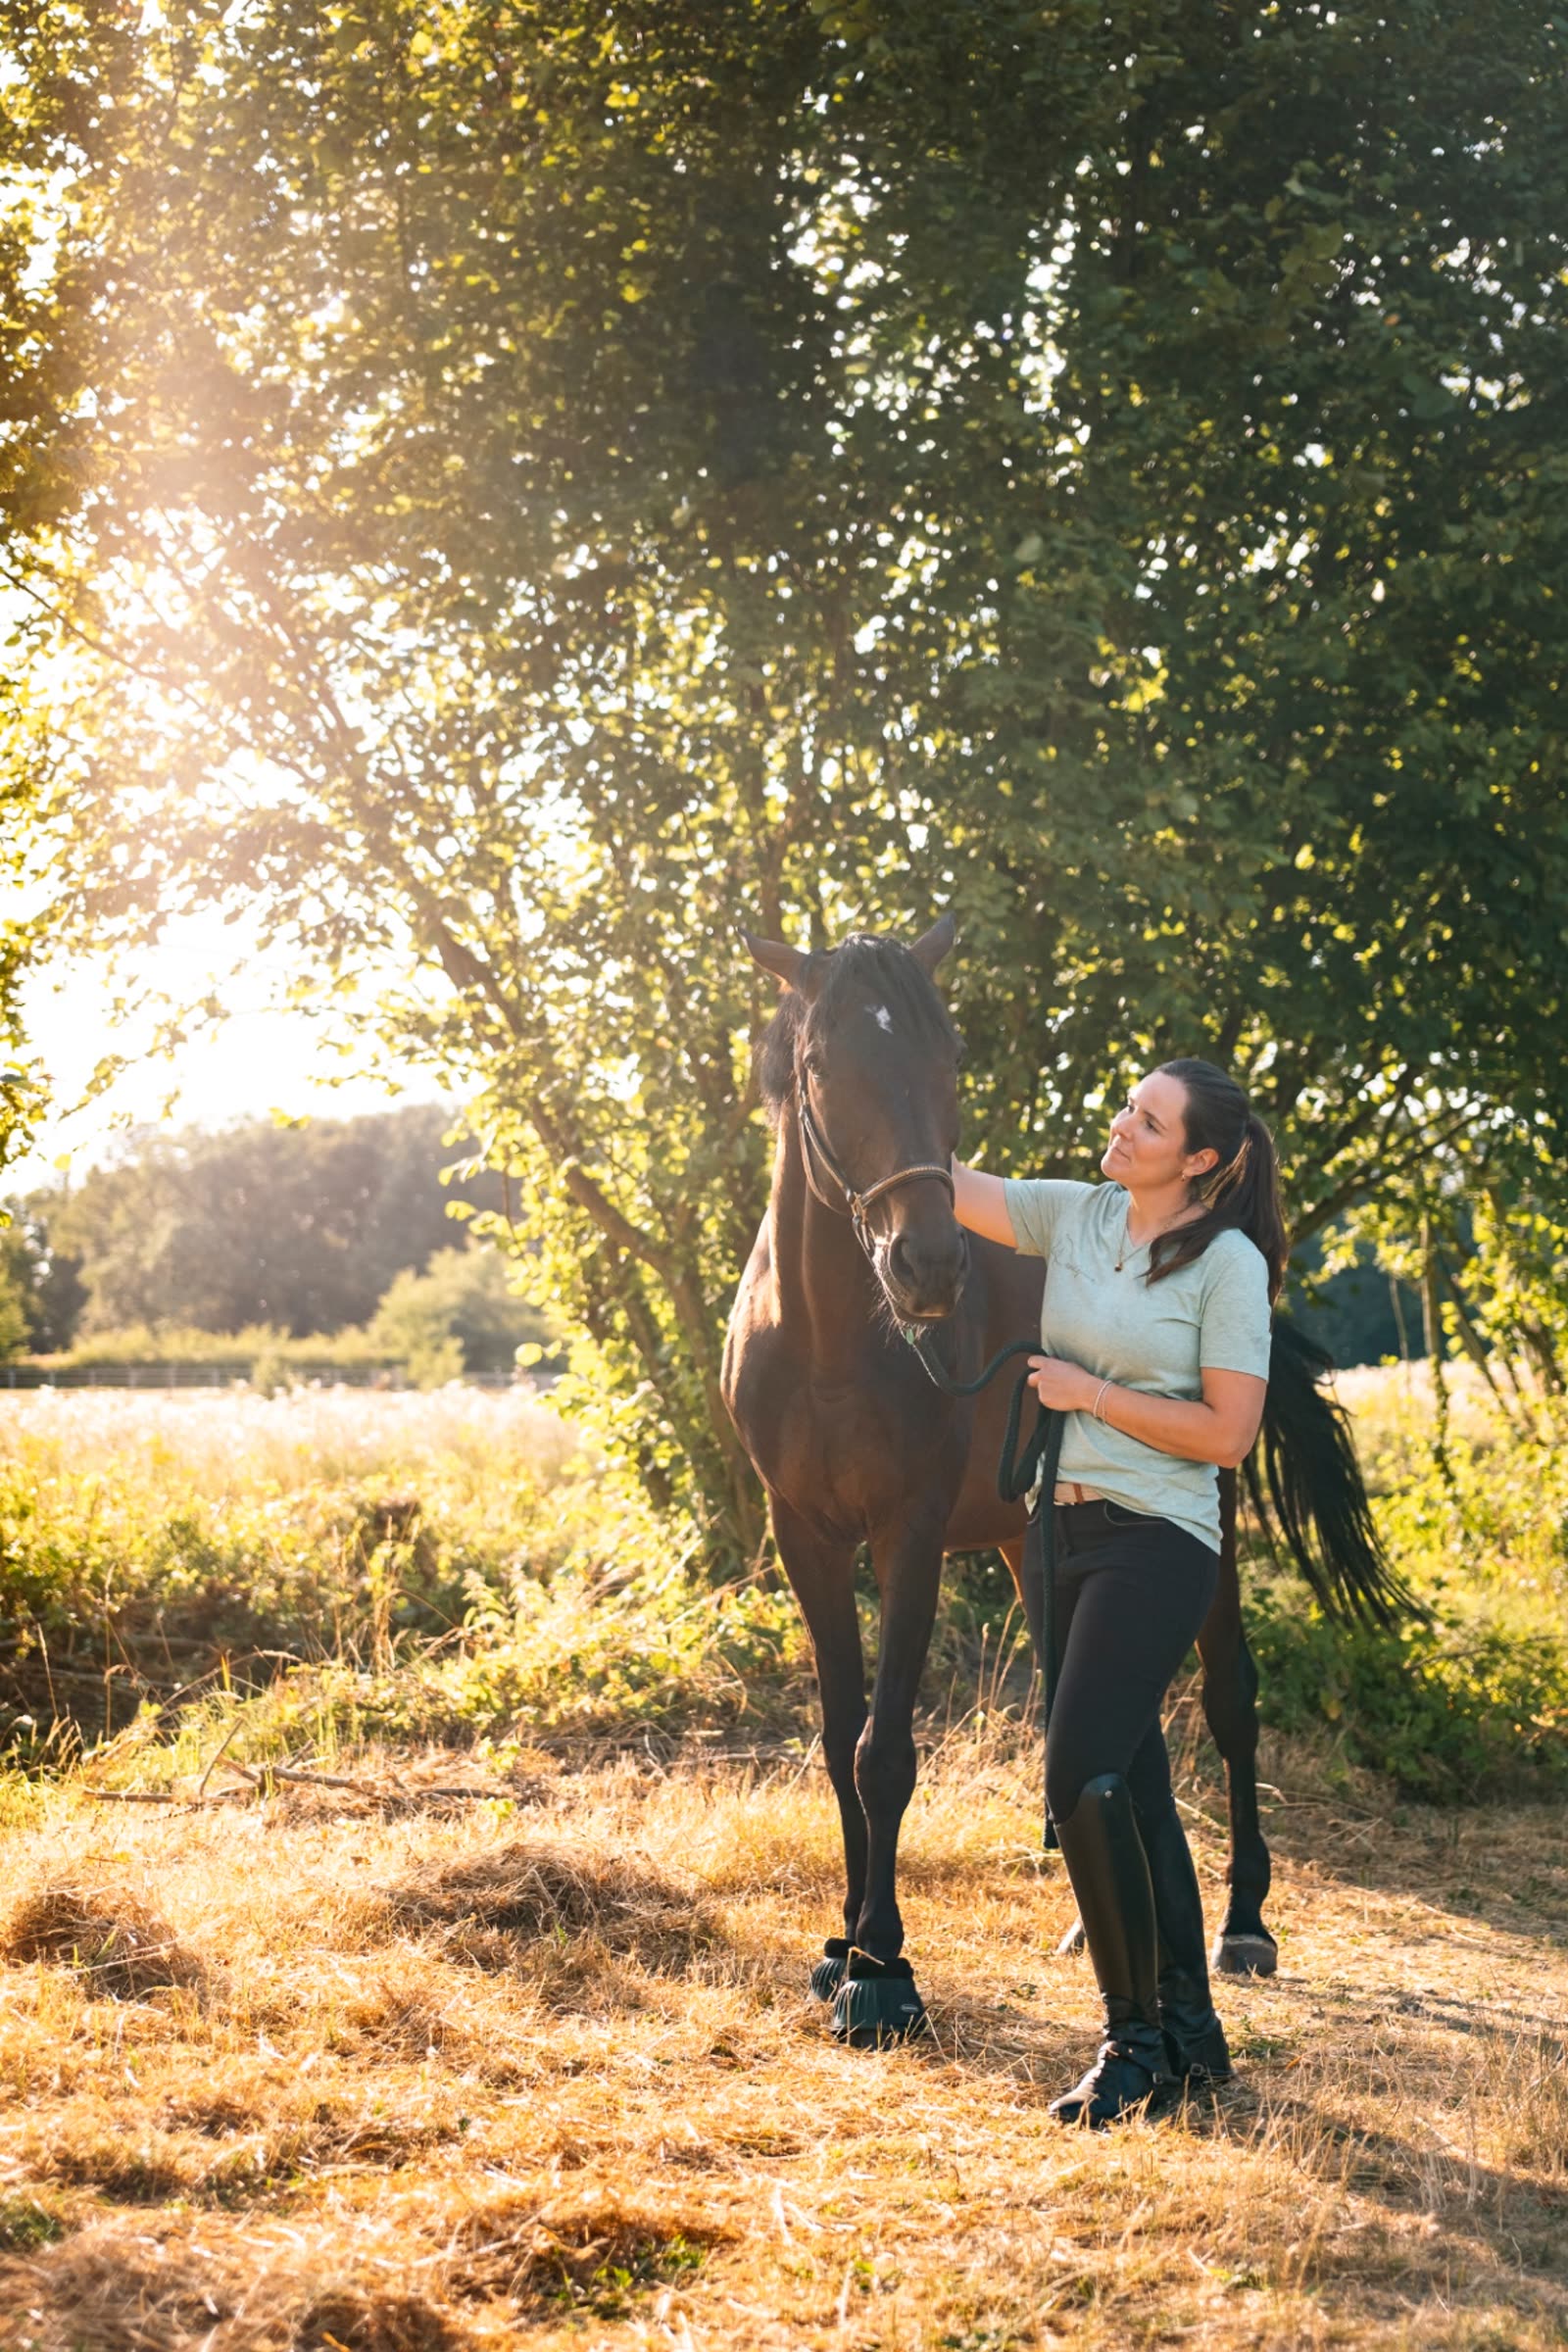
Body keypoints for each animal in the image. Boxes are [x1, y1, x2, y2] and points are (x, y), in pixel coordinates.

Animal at [721, 914, 1402, 2046]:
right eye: (822, 1065)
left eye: (949, 1056)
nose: (928, 1268)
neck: (832, 1337)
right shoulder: (803, 1535)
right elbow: (833, 1740)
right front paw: (837, 1947)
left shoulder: (907, 1536)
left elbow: (882, 1751)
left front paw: (883, 1970)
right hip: (1025, 1541)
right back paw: (1096, 1925)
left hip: (1209, 1529)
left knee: (1230, 1700)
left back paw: (1245, 1924)